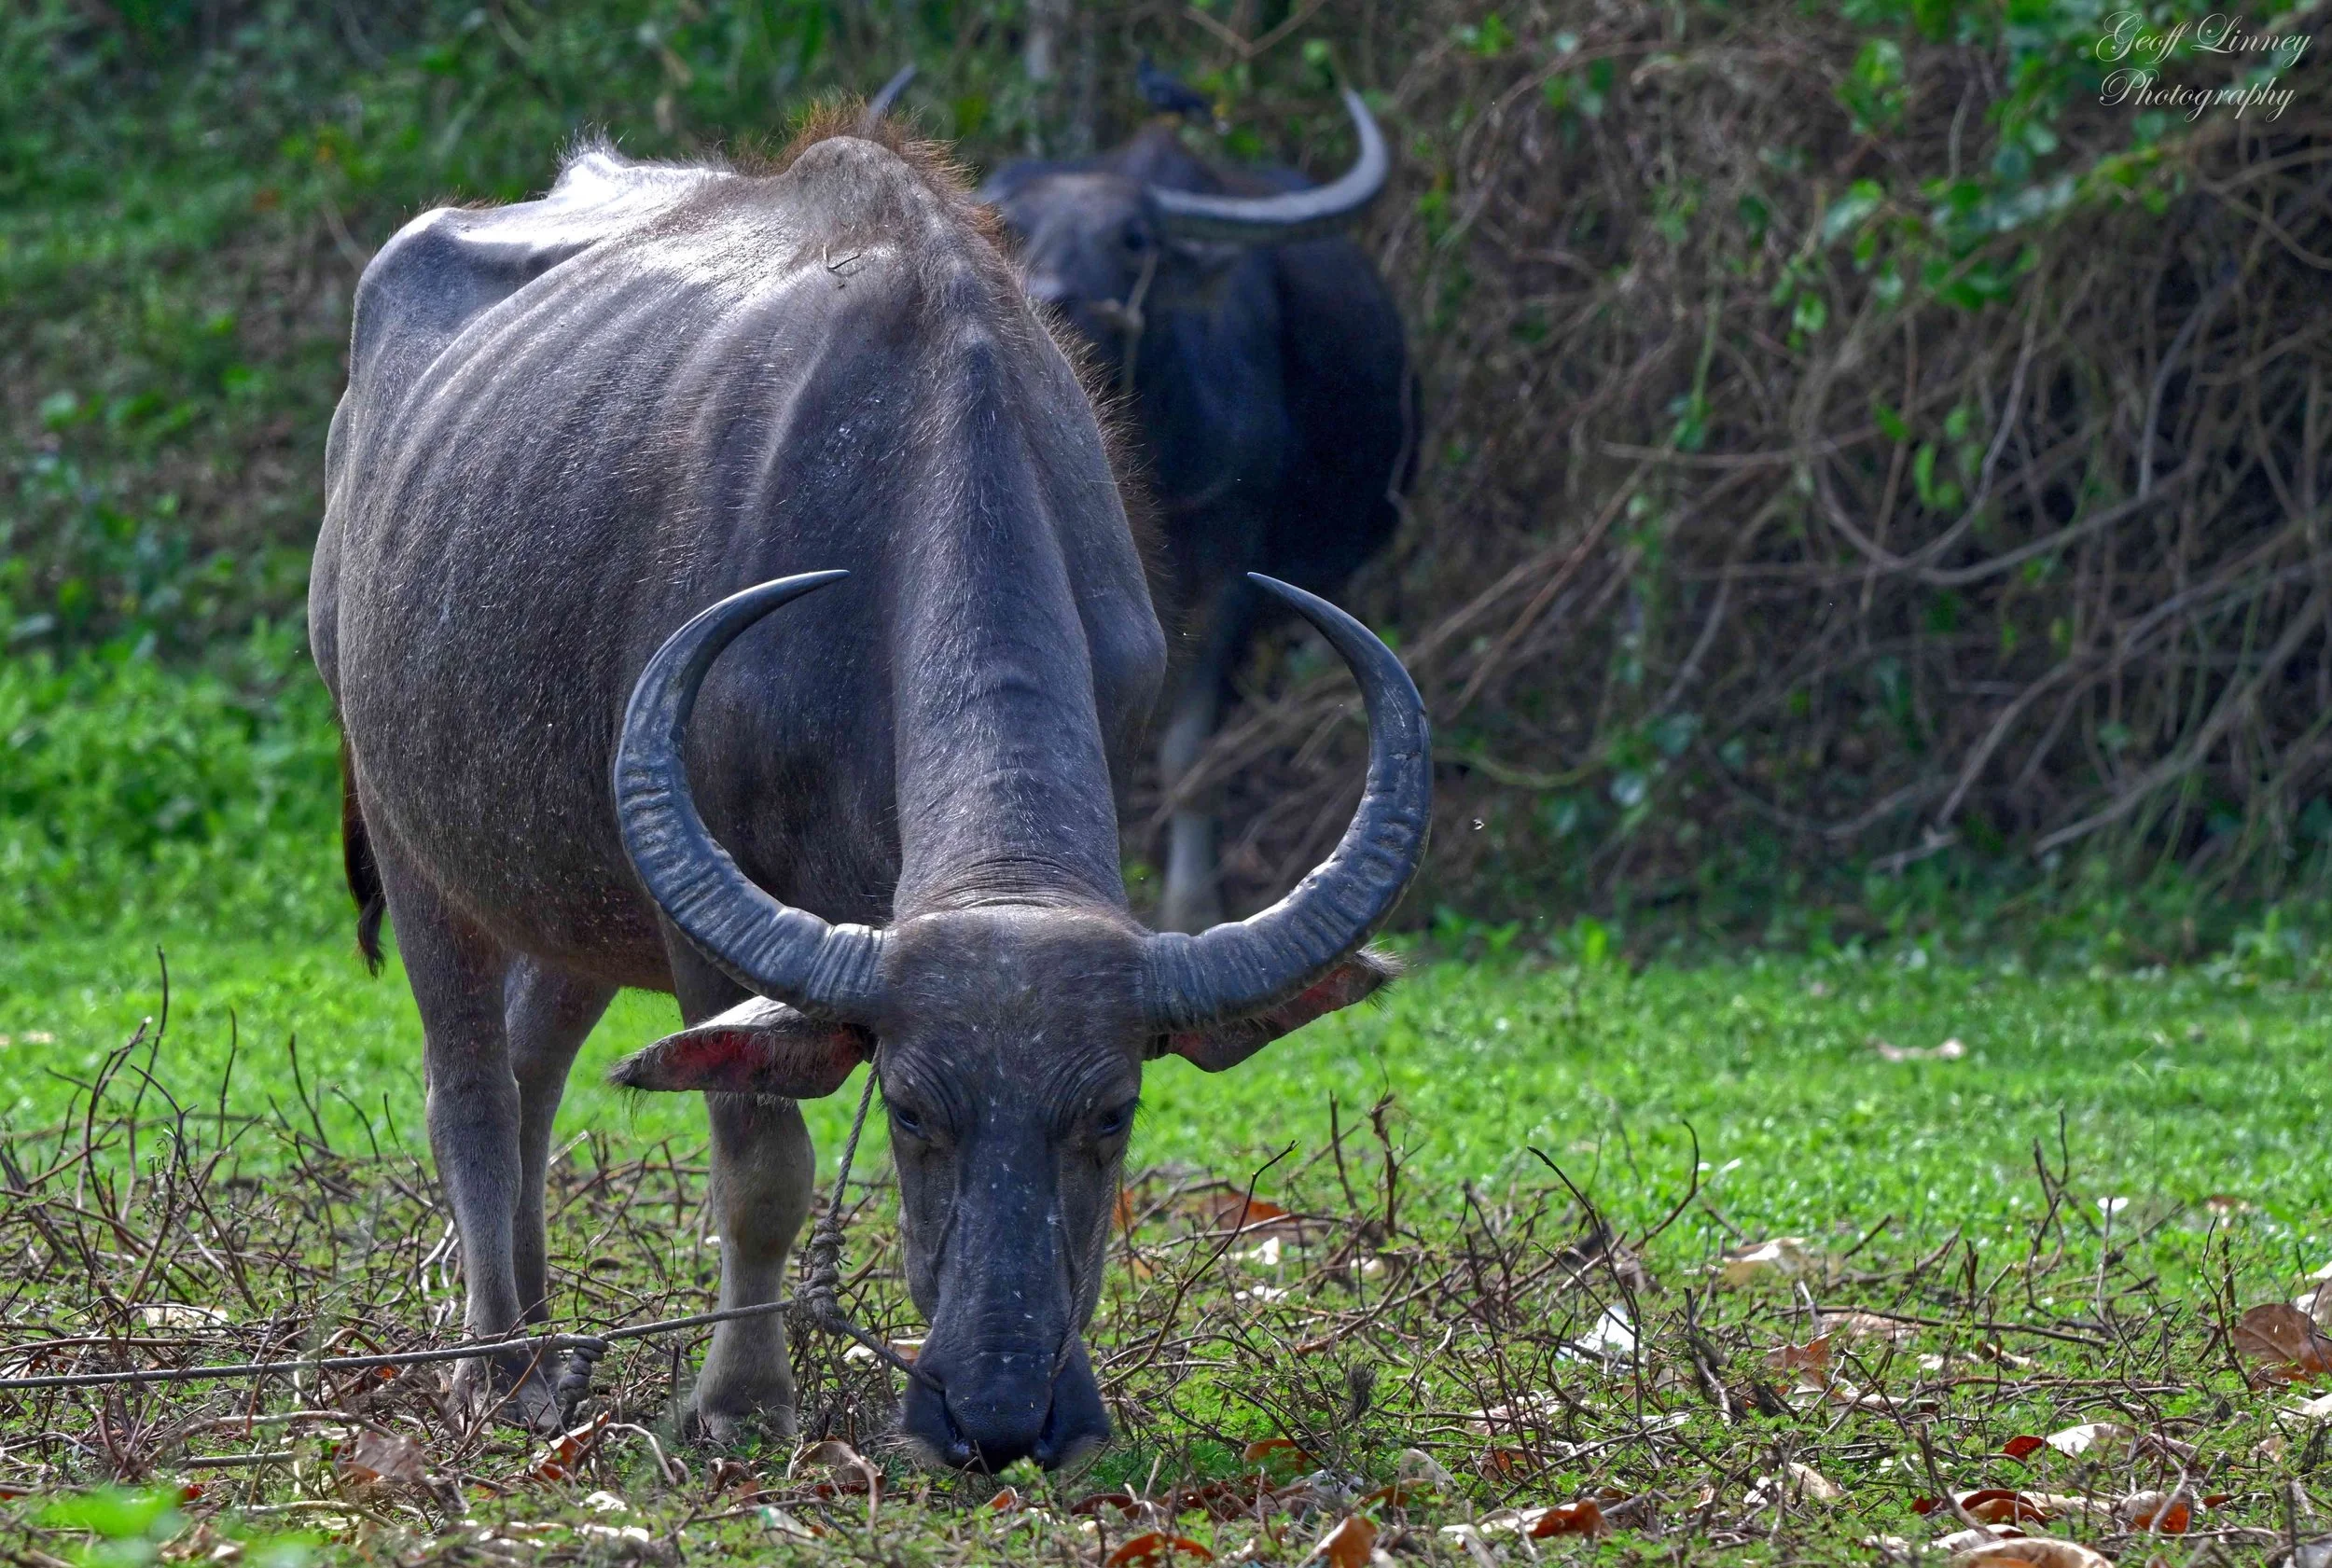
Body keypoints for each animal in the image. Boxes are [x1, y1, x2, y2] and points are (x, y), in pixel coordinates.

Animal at [979, 80, 1416, 932]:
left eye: (1134, 238)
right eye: (1019, 229)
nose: (1054, 299)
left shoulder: (1228, 567)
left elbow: (1188, 745)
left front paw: (1189, 901)